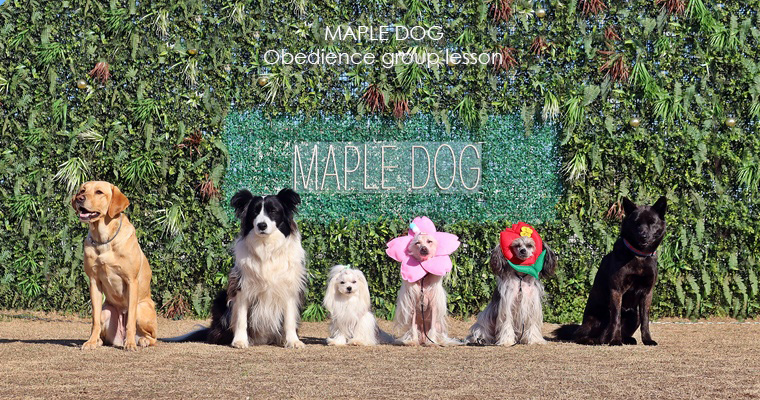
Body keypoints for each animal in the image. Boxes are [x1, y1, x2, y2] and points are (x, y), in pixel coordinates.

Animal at [72, 181, 158, 351]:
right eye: (82, 190)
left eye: (99, 192)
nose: (79, 198)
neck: (104, 239)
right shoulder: (94, 281)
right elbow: (94, 320)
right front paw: (91, 341)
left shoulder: (132, 281)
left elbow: (130, 320)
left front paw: (130, 344)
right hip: (107, 311)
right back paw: (99, 341)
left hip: (141, 309)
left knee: (153, 336)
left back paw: (141, 340)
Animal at [165, 188, 307, 348]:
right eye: (254, 212)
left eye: (273, 211)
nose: (261, 225)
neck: (266, 247)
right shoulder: (241, 287)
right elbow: (241, 319)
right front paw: (239, 341)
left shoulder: (289, 287)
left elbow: (289, 319)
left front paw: (293, 341)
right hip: (221, 298)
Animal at [553, 196, 667, 346]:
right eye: (636, 222)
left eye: (652, 222)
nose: (643, 235)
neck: (639, 256)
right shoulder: (616, 290)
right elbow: (616, 318)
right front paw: (615, 341)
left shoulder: (647, 293)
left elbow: (646, 320)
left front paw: (647, 340)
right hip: (599, 318)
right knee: (579, 336)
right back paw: (596, 340)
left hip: (634, 315)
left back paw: (626, 339)